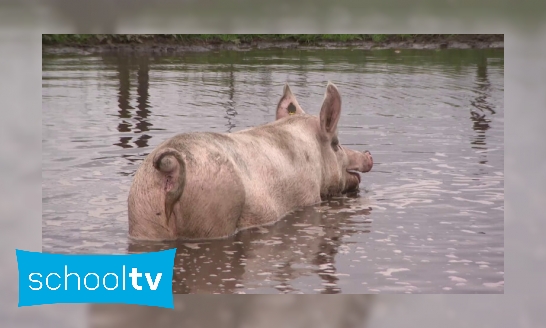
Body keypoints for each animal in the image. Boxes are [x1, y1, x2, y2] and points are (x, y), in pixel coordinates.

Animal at [129, 82, 370, 241]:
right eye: (336, 144)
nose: (368, 155)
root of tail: (171, 167)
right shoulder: (309, 195)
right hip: (214, 209)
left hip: (143, 215)